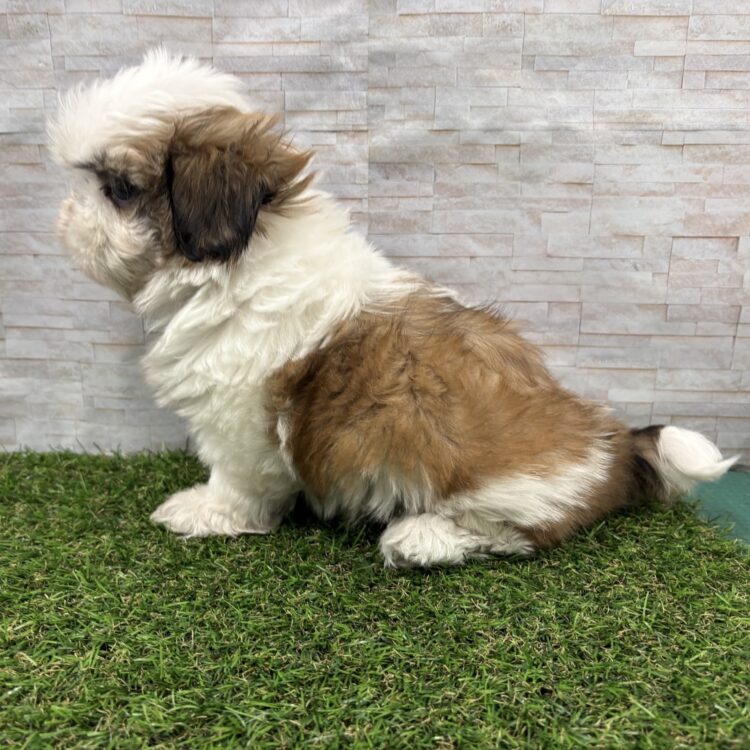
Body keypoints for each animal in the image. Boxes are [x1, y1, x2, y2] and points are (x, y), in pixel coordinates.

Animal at [48, 50, 737, 567]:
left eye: (117, 189)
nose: (64, 217)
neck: (240, 260)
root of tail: (611, 443)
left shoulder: (238, 418)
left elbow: (237, 479)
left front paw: (207, 511)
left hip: (506, 483)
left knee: (521, 532)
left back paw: (423, 538)